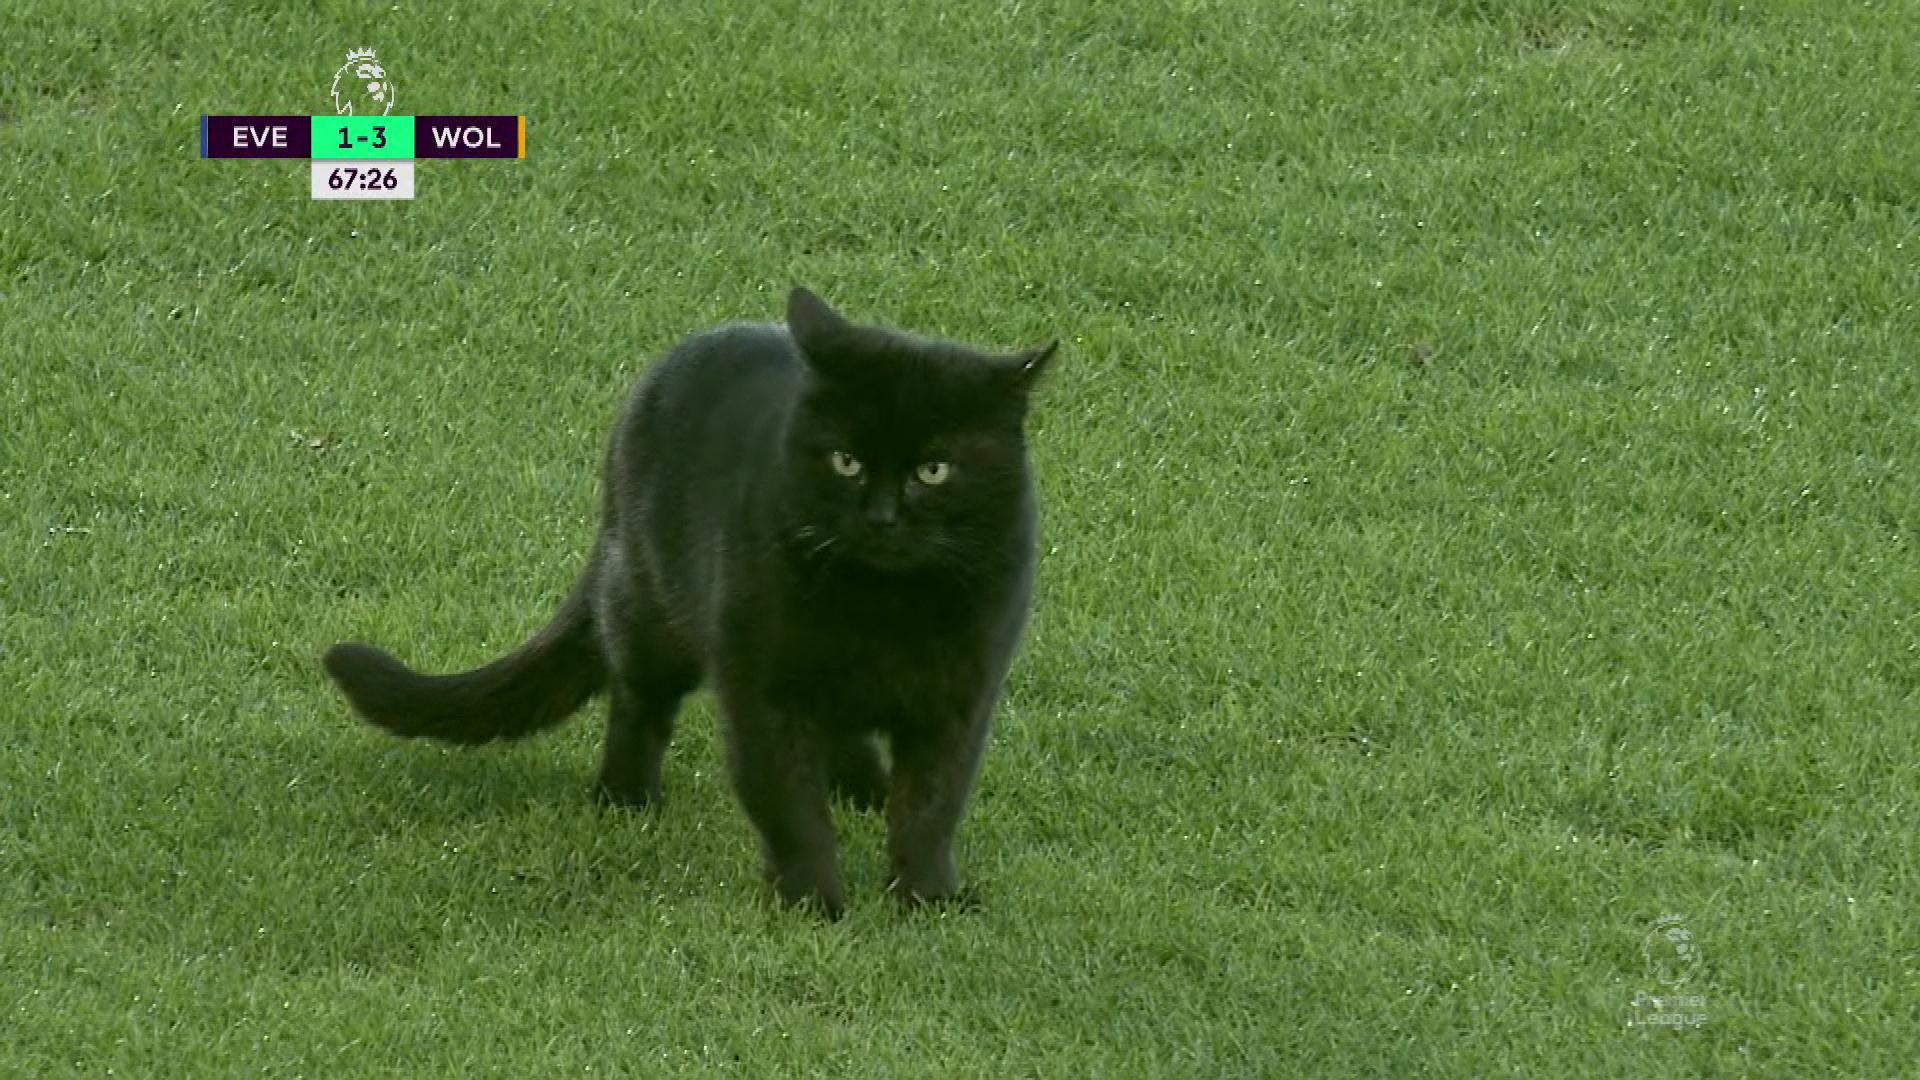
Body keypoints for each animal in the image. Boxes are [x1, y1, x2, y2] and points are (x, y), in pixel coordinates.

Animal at [322, 288, 1059, 914]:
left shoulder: (959, 698)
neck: (882, 605)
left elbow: (931, 807)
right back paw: (626, 798)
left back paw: (864, 794)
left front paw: (926, 900)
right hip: (650, 610)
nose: (880, 516)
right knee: (635, 698)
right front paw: (813, 904)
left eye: (934, 470)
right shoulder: (763, 687)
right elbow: (789, 804)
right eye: (845, 461)